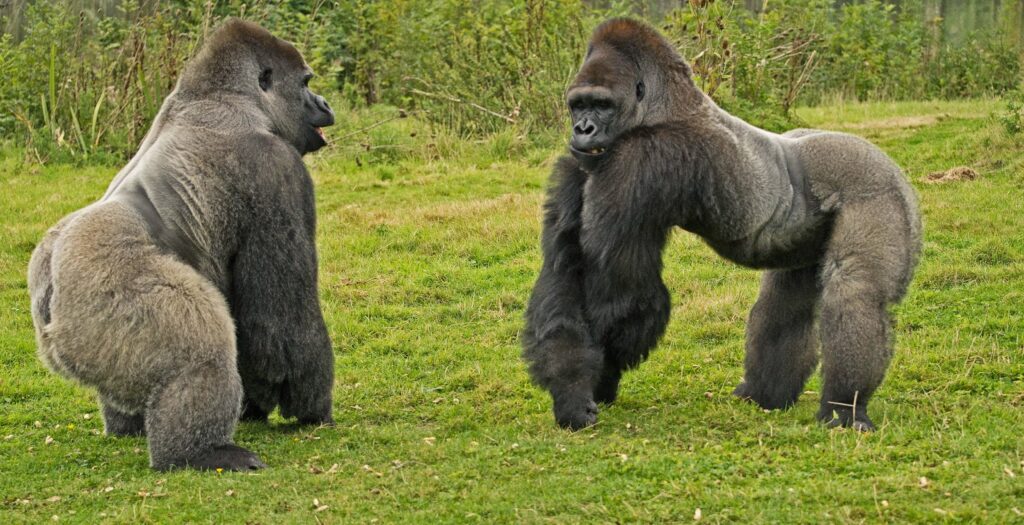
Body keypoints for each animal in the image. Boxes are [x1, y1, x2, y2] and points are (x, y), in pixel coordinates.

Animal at [27, 19, 336, 471]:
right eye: (306, 83)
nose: (324, 102)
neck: (226, 95)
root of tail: (49, 289)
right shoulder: (277, 168)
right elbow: (281, 328)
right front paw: (311, 408)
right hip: (105, 300)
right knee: (203, 346)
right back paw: (198, 452)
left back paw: (128, 426)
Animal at [522, 18, 921, 432]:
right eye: (578, 105)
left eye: (602, 105)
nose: (582, 129)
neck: (664, 104)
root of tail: (888, 163)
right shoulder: (578, 164)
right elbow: (565, 272)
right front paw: (572, 390)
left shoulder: (639, 160)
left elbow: (625, 294)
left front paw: (602, 378)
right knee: (784, 304)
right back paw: (766, 393)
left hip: (879, 191)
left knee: (856, 291)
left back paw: (845, 408)